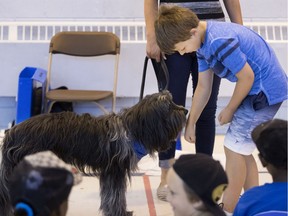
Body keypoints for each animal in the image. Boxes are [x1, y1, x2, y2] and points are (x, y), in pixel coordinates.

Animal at [0, 90, 187, 216]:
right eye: (169, 106)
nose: (185, 110)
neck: (132, 129)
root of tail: (12, 132)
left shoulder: (110, 173)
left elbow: (110, 197)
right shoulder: (114, 172)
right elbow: (115, 196)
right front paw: (120, 212)